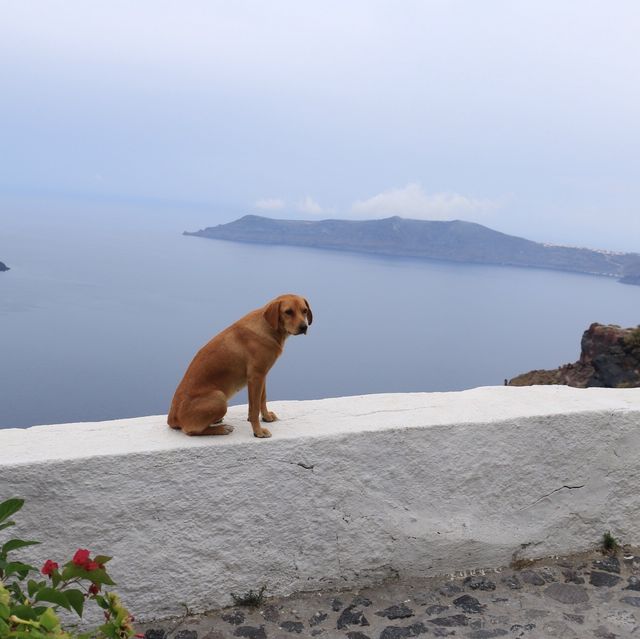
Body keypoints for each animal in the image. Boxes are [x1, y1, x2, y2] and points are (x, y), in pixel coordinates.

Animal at [168, 296, 312, 438]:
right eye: (288, 312)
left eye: (304, 311)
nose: (304, 327)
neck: (268, 327)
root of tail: (172, 418)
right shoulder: (256, 377)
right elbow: (254, 409)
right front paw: (258, 431)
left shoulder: (262, 375)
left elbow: (262, 399)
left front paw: (266, 417)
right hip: (219, 397)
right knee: (191, 430)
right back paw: (221, 429)